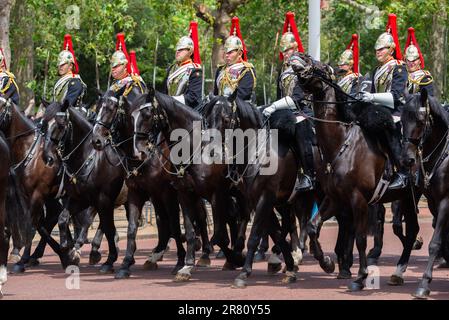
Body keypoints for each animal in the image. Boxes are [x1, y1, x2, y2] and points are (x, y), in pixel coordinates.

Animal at [288, 53, 418, 292]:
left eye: (322, 67)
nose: (298, 57)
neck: (339, 145)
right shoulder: (334, 198)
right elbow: (312, 226)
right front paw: (327, 263)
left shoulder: (358, 200)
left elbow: (360, 238)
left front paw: (360, 276)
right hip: (407, 197)